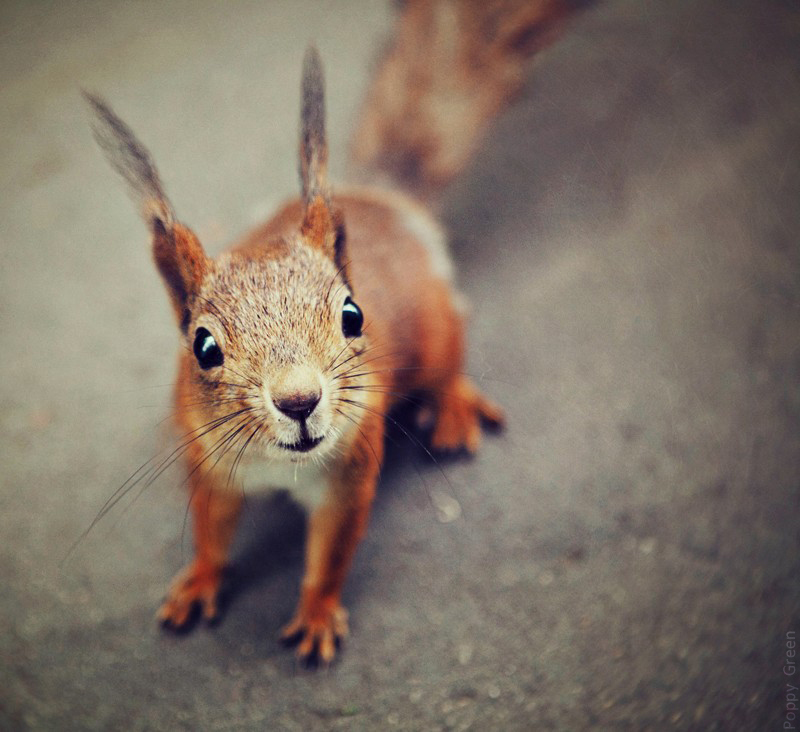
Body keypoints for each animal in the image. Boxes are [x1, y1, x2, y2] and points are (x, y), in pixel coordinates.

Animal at [86, 45, 500, 664]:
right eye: (202, 346)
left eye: (353, 315)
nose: (299, 400)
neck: (281, 466)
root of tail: (382, 203)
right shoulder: (208, 463)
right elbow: (211, 531)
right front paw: (199, 580)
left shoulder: (350, 471)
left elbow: (331, 553)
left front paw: (317, 613)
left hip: (435, 331)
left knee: (450, 356)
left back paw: (453, 404)